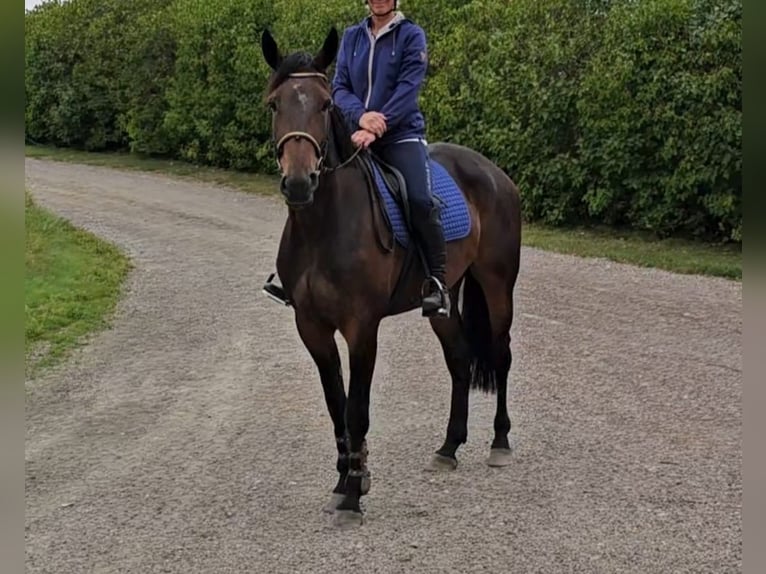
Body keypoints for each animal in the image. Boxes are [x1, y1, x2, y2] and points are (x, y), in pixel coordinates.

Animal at [262, 28, 520, 532]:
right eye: (275, 104)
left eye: (325, 104)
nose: (299, 184)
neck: (324, 226)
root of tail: (496, 174)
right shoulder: (311, 328)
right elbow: (336, 406)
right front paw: (347, 479)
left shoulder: (362, 329)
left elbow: (357, 409)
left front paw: (352, 496)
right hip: (443, 300)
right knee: (460, 360)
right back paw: (448, 447)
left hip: (498, 287)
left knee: (500, 356)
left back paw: (499, 443)